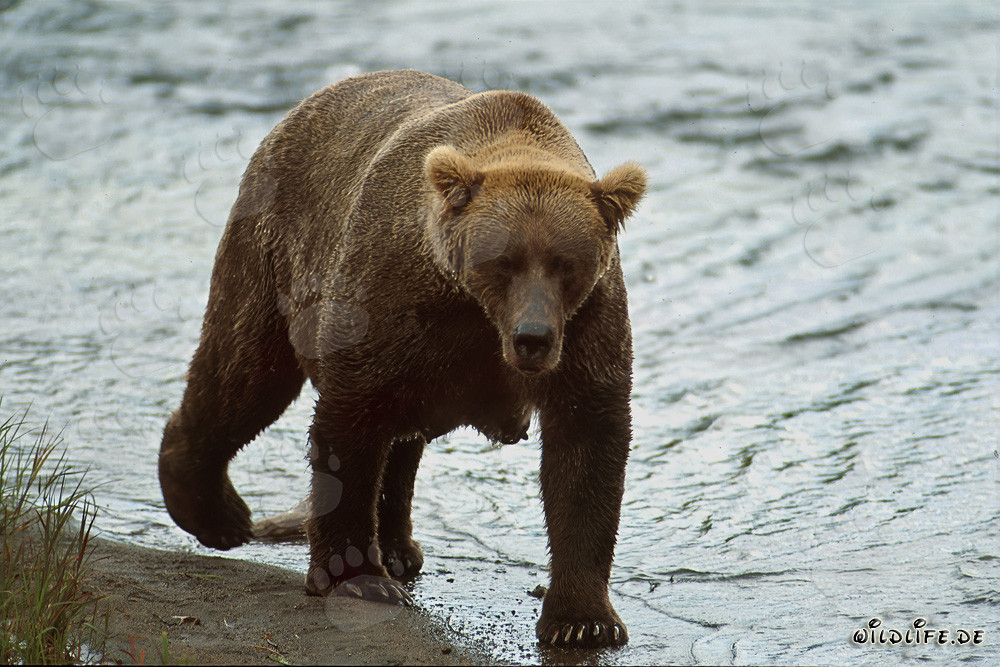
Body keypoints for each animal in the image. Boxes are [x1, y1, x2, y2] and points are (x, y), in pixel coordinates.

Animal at [158, 69, 646, 648]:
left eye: (564, 264)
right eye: (504, 261)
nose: (533, 337)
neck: (476, 313)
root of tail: (297, 112)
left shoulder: (587, 327)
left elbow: (586, 452)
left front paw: (583, 619)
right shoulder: (390, 300)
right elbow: (348, 425)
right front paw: (354, 575)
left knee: (398, 437)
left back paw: (395, 547)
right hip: (272, 253)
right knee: (244, 375)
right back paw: (217, 513)